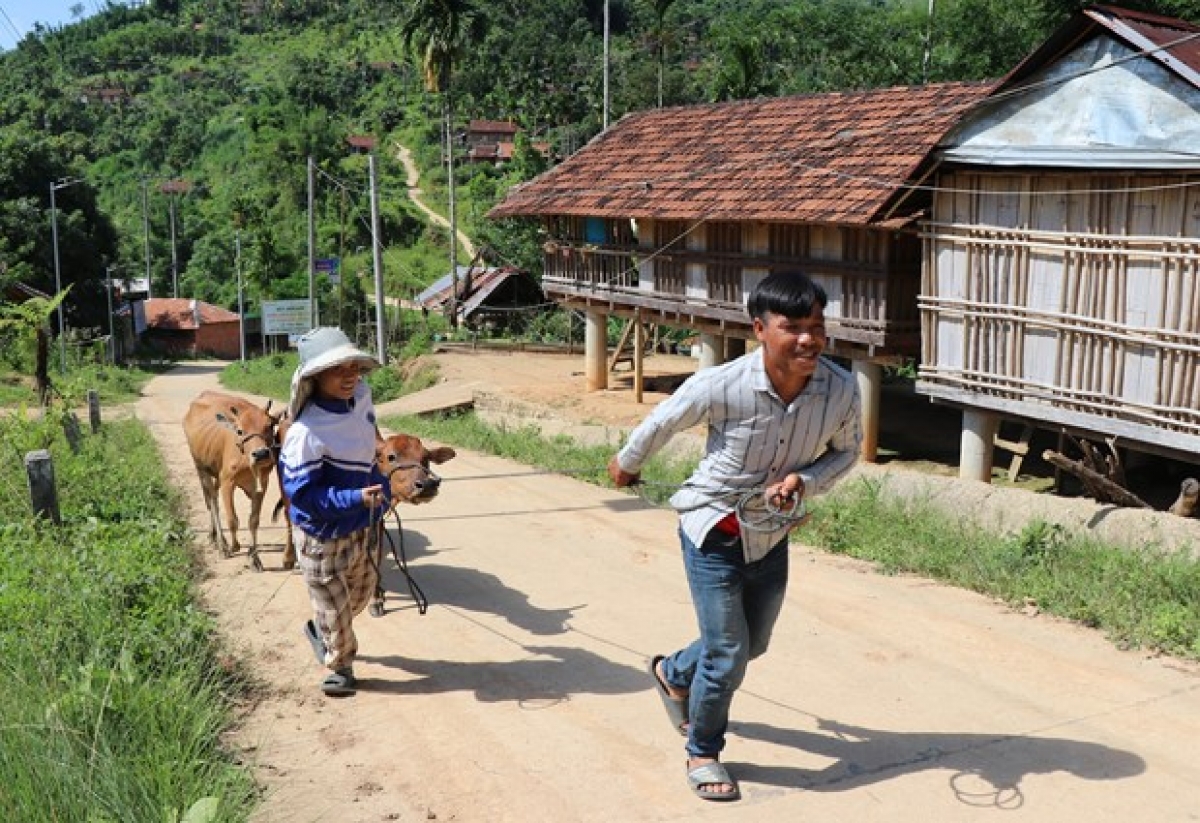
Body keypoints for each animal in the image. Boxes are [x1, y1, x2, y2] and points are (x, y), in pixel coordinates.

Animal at [182, 391, 280, 573]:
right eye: (240, 431)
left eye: (270, 426)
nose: (261, 454)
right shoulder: (228, 482)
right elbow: (232, 519)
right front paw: (234, 546)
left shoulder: (262, 485)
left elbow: (253, 521)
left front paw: (254, 558)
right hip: (201, 467)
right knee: (212, 501)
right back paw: (222, 543)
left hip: (215, 472)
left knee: (212, 496)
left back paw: (213, 535)